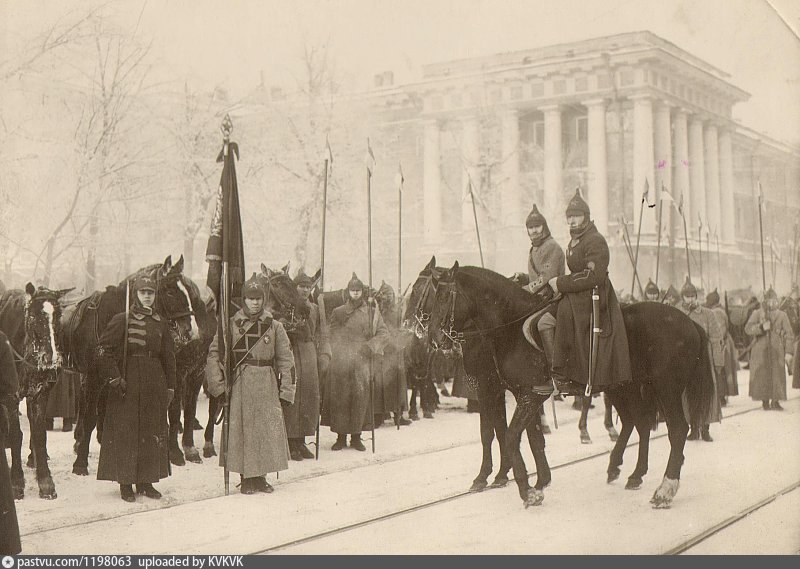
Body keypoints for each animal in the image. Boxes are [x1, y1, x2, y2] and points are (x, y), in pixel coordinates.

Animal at [0, 283, 73, 499]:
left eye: (58, 315)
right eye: (33, 316)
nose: (51, 359)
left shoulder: (39, 394)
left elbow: (40, 434)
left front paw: (45, 481)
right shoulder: (11, 396)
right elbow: (16, 435)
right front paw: (16, 482)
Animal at [427, 262, 716, 508]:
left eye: (445, 297)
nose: (433, 339)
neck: (512, 326)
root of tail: (690, 322)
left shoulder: (530, 394)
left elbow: (511, 435)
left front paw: (527, 491)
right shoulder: (525, 394)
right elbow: (532, 437)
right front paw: (539, 482)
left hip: (665, 389)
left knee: (677, 430)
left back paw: (665, 489)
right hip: (627, 388)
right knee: (641, 423)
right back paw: (630, 473)